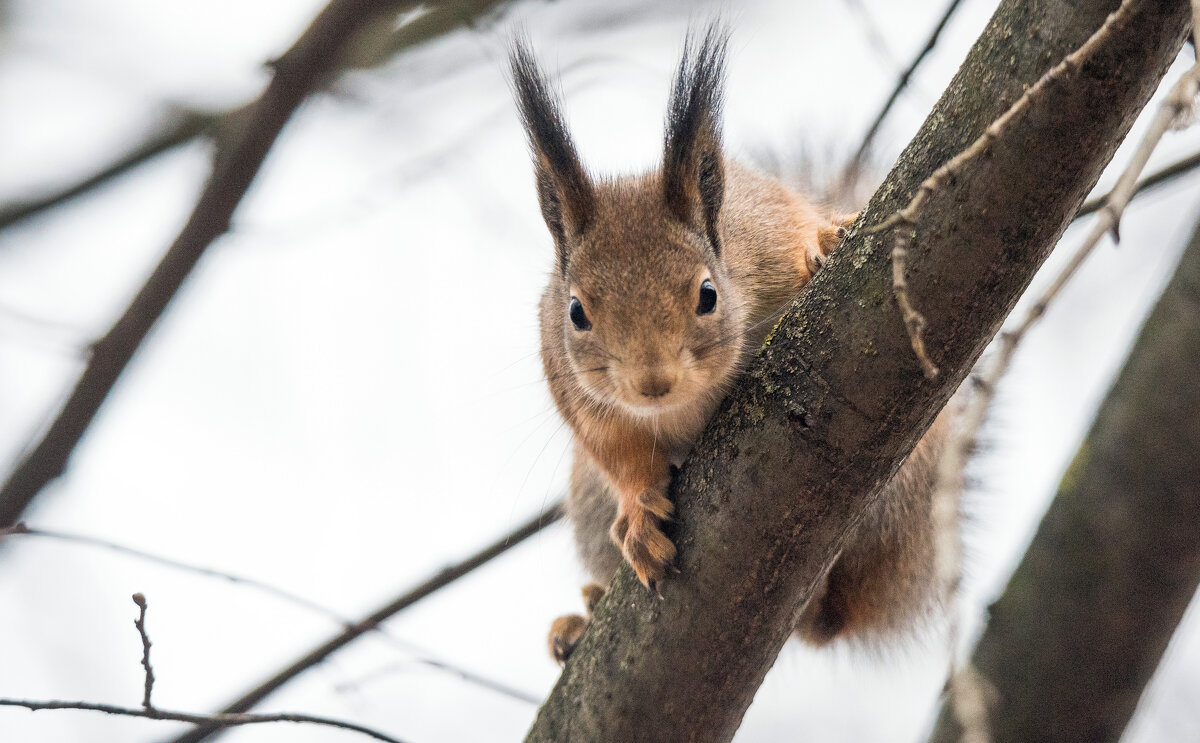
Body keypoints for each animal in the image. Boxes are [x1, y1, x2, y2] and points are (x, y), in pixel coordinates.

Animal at [511, 26, 950, 667]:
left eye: (707, 295)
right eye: (575, 312)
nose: (653, 383)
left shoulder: (765, 235)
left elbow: (795, 236)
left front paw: (824, 242)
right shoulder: (577, 393)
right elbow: (617, 451)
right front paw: (639, 515)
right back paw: (583, 613)